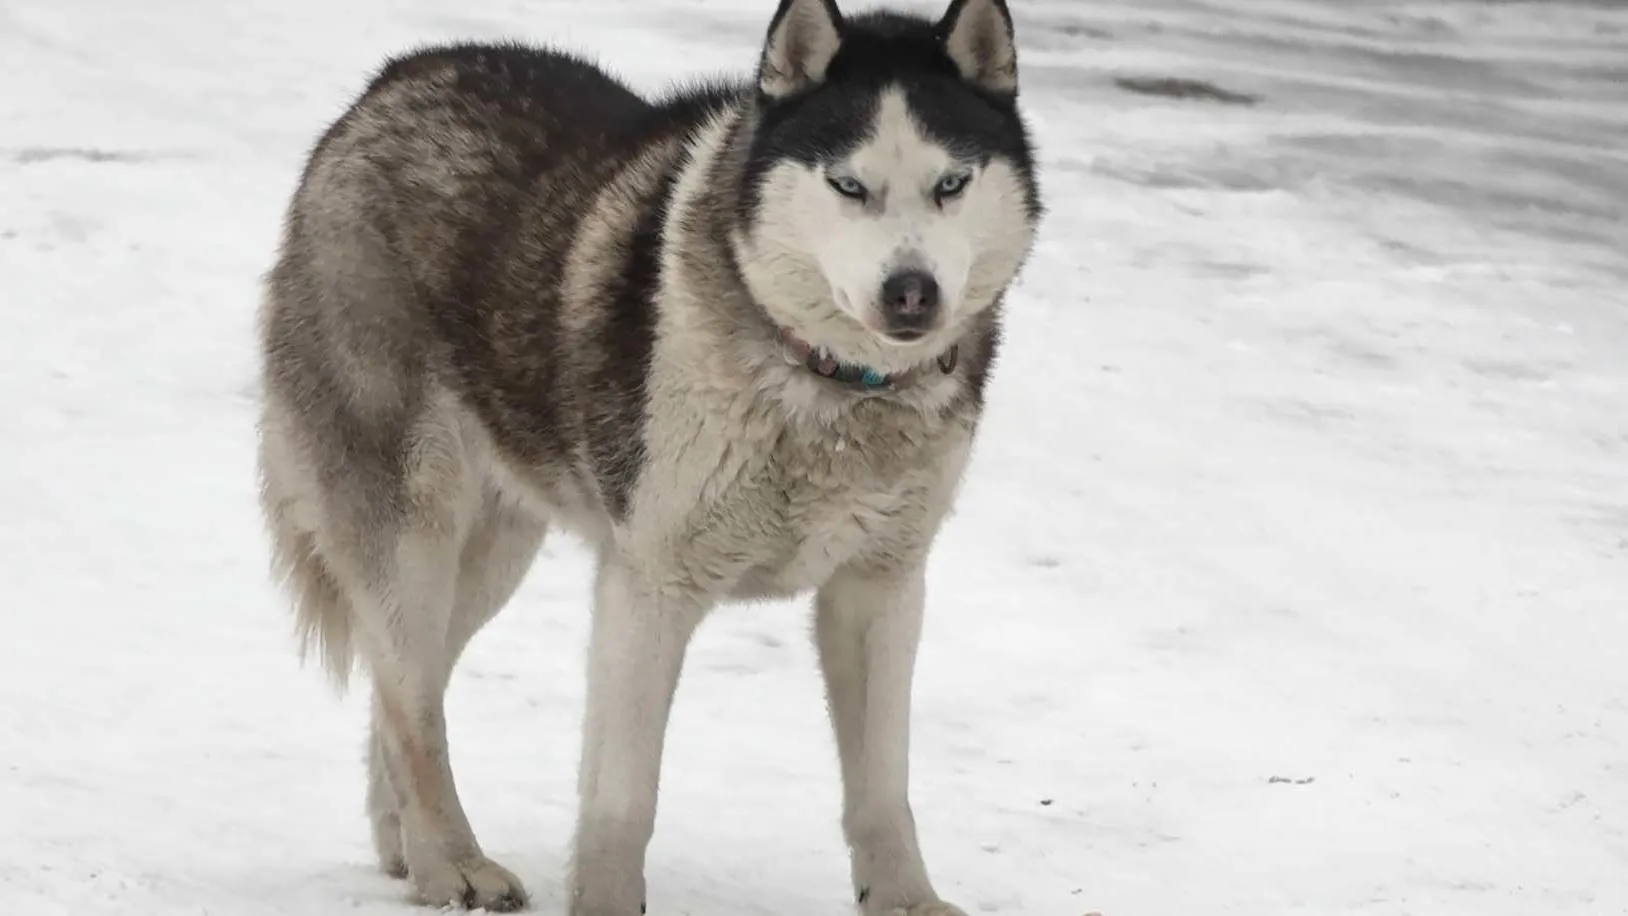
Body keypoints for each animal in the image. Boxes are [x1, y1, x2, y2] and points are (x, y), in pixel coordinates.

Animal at [253, 0, 1041, 911]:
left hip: (492, 551)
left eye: (952, 184)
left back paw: (412, 854)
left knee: (402, 689)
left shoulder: (880, 587)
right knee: (415, 704)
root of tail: (388, 84)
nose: (912, 293)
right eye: (849, 185)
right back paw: (455, 864)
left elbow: (883, 787)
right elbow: (623, 798)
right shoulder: (649, 587)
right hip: (412, 527)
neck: (831, 388)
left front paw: (906, 899)